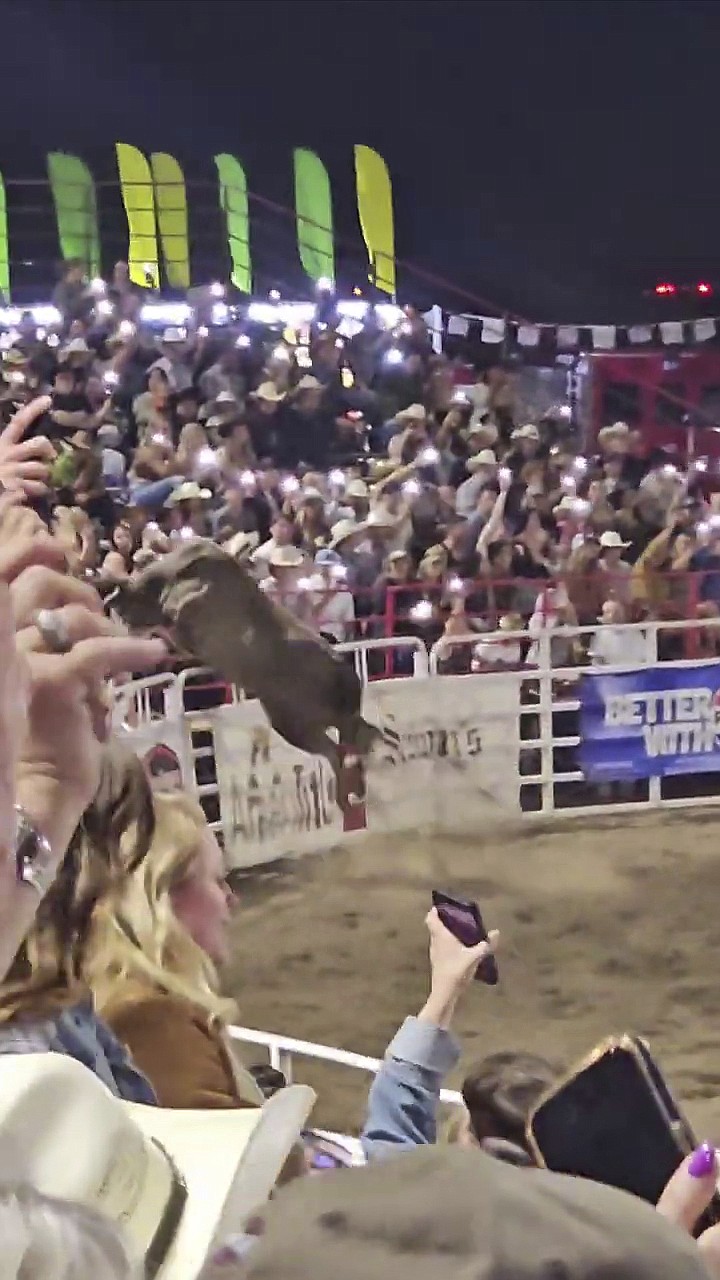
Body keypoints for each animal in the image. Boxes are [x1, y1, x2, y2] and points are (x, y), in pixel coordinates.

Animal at [109, 540, 381, 788]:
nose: (114, 599)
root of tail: (346, 679)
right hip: (293, 722)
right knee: (346, 745)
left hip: (300, 723)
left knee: (343, 746)